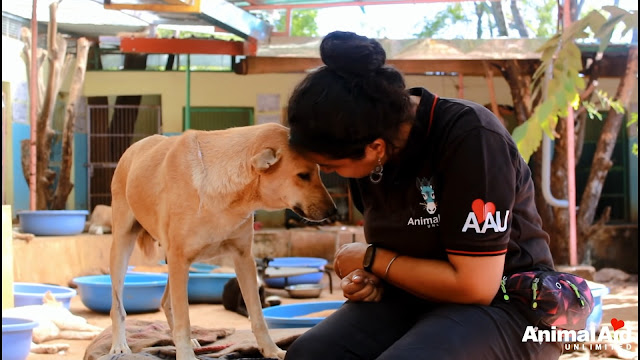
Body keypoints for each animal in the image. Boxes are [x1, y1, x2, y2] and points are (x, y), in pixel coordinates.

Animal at [107, 122, 338, 358]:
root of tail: (135, 145)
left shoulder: (243, 258)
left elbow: (258, 316)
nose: (333, 211)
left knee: (166, 302)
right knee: (118, 306)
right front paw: (185, 356)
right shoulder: (180, 259)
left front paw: (270, 349)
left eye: (318, 172)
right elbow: (184, 320)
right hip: (124, 247)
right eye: (303, 175)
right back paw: (120, 345)